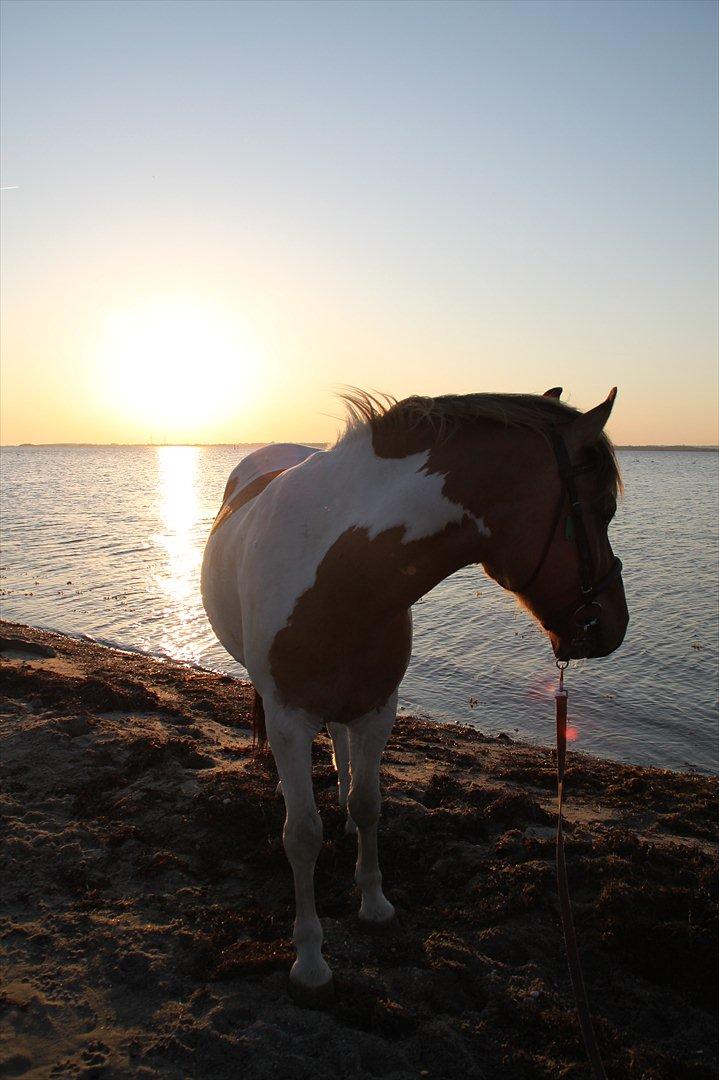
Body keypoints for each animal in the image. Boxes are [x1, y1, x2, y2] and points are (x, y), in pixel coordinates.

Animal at [198, 384, 626, 997]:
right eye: (604, 508)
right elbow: (301, 835)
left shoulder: (379, 708)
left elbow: (370, 804)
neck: (343, 569)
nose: (615, 625)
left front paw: (374, 902)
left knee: (343, 747)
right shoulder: (288, 718)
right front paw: (309, 959)